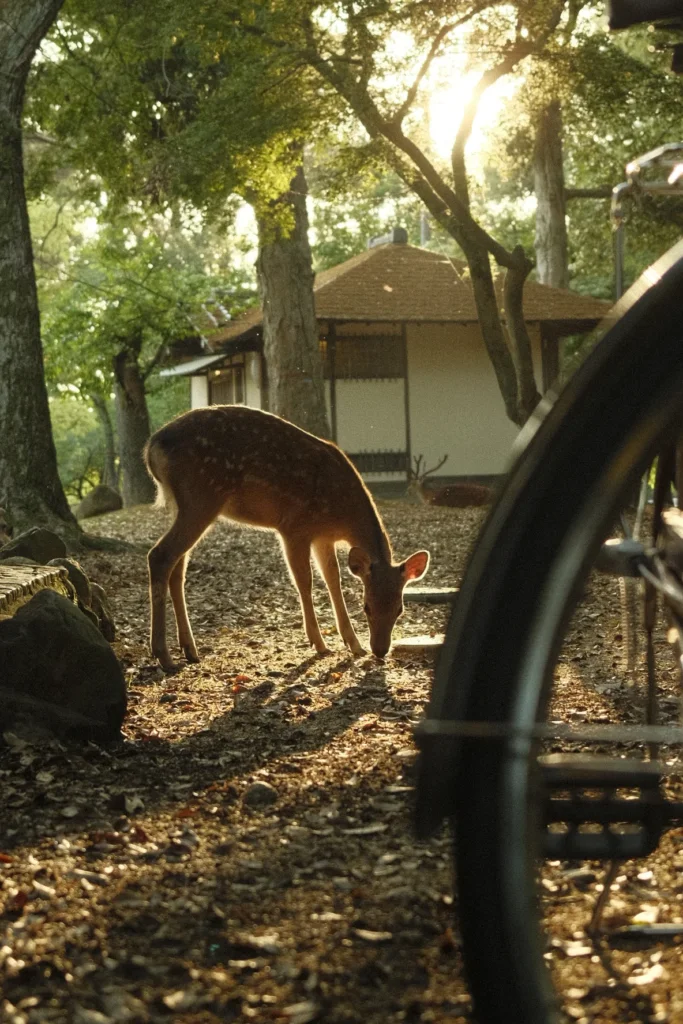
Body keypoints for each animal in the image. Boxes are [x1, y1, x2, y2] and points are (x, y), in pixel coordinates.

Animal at [145, 405, 430, 673]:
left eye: (400, 609)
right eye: (366, 606)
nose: (380, 650)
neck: (342, 514)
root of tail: (152, 447)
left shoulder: (322, 537)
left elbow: (333, 580)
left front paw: (354, 644)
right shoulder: (294, 526)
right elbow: (304, 581)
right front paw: (319, 644)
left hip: (183, 505)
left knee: (177, 567)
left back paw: (189, 649)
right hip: (202, 497)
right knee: (160, 555)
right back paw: (164, 655)